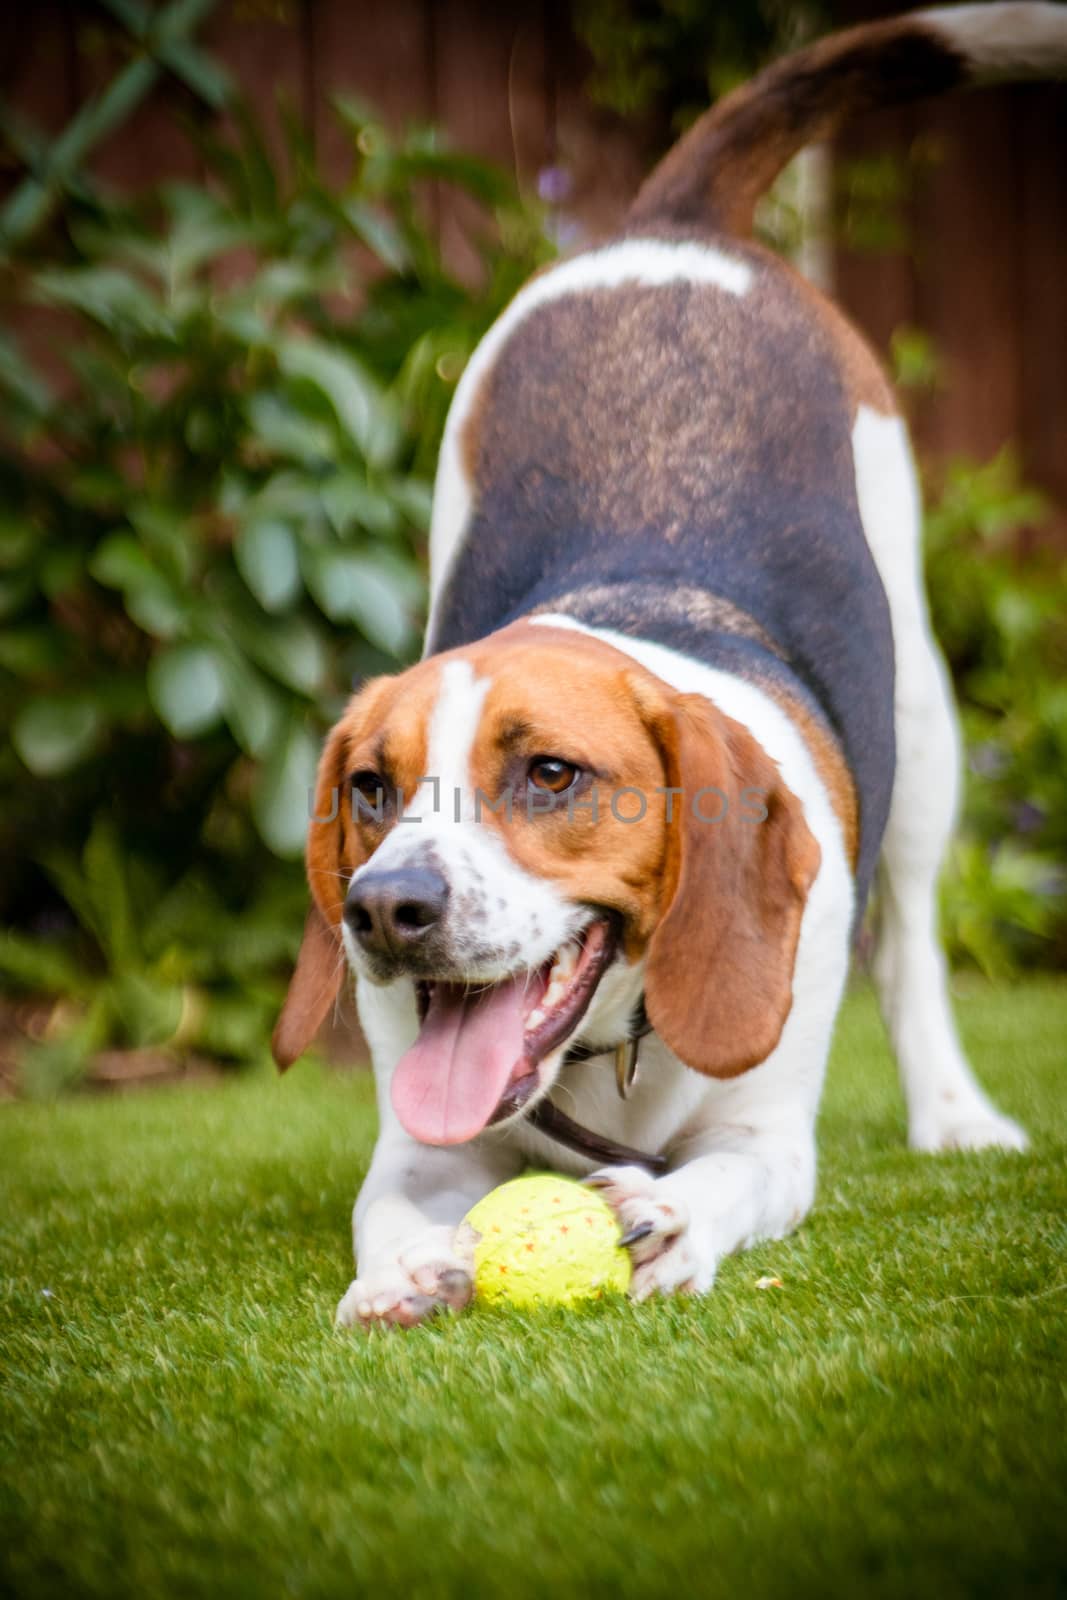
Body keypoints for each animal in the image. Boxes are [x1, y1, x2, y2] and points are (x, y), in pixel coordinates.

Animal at [273, 6, 1062, 1331]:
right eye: (370, 790)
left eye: (549, 774)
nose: (386, 907)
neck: (613, 1046)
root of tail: (675, 230)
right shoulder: (416, 1149)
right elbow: (386, 1208)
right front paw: (395, 1275)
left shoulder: (769, 1134)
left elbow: (736, 1172)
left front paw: (677, 1216)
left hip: (924, 711)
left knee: (910, 942)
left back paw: (952, 1113)